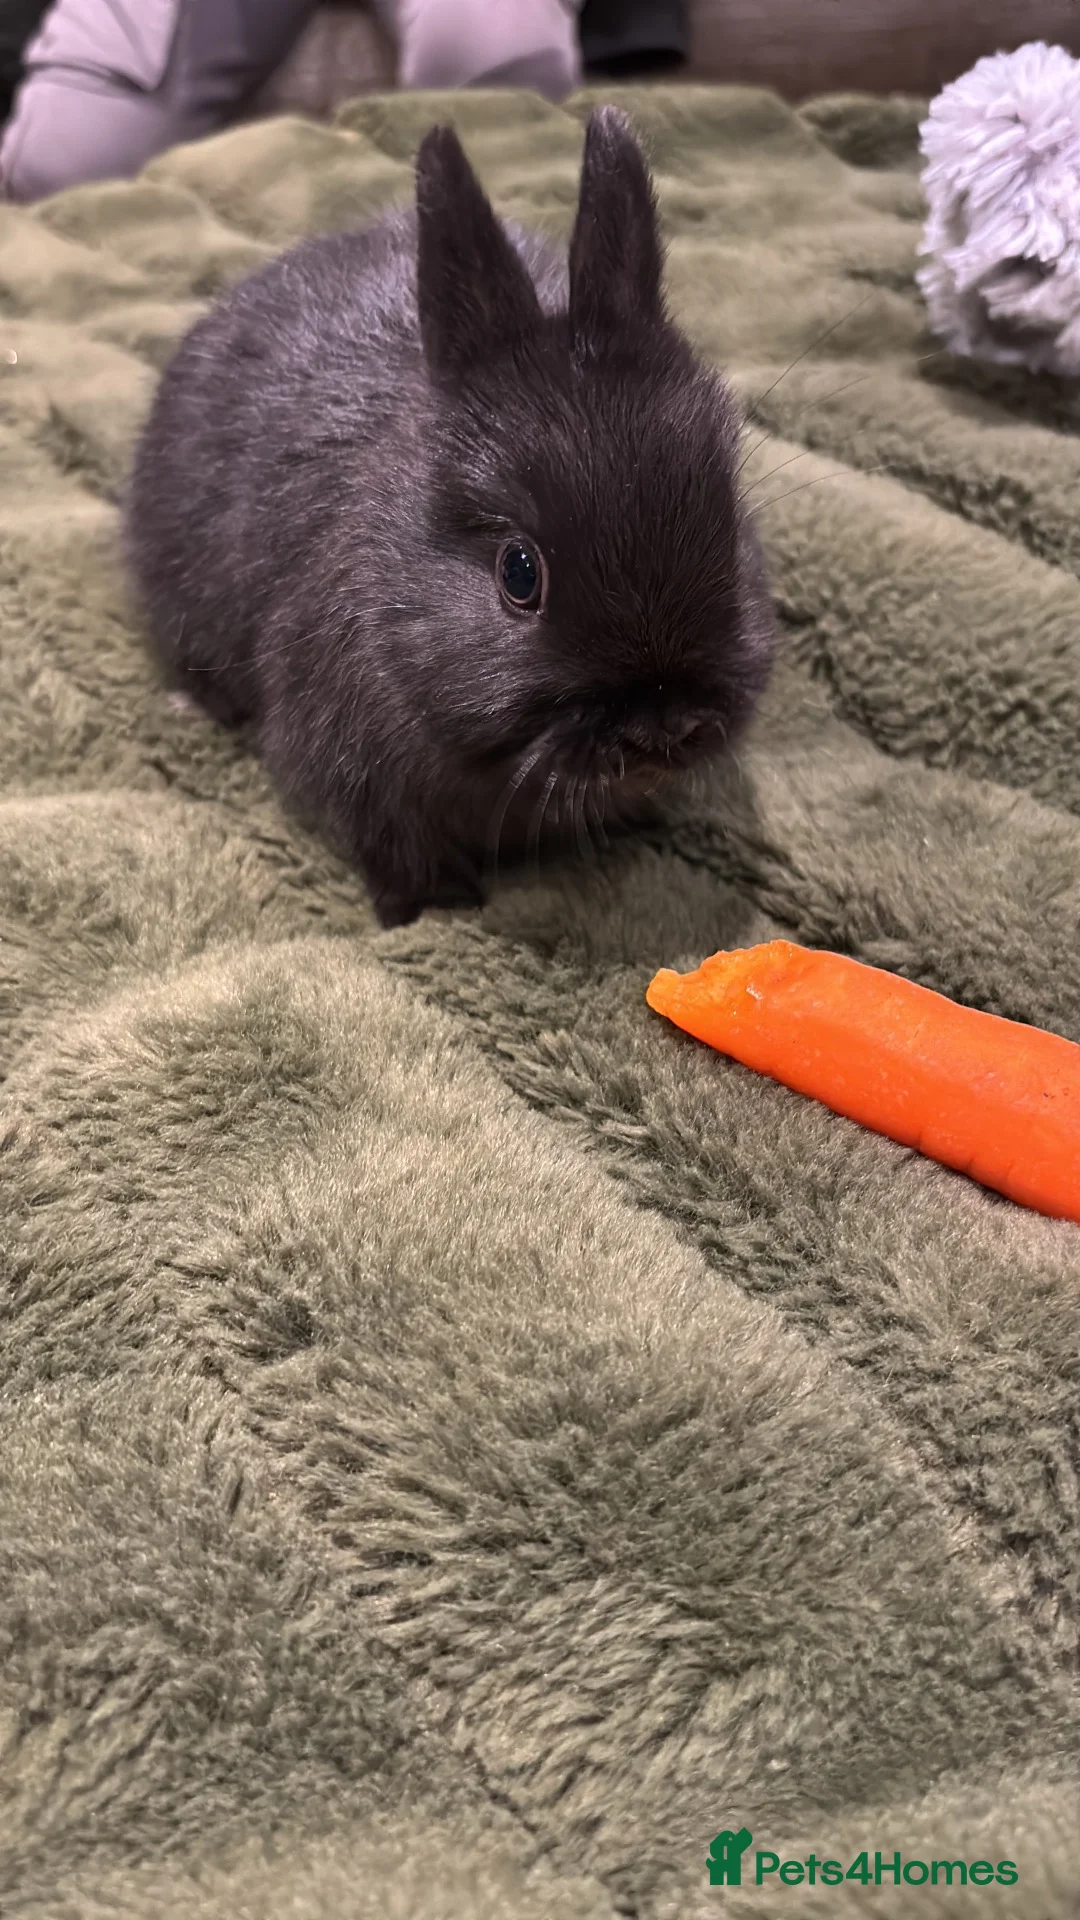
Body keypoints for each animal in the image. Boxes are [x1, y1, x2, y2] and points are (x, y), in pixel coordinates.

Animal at [125, 106, 776, 927]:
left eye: (729, 533)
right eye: (519, 575)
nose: (660, 730)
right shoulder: (356, 772)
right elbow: (394, 849)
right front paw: (429, 908)